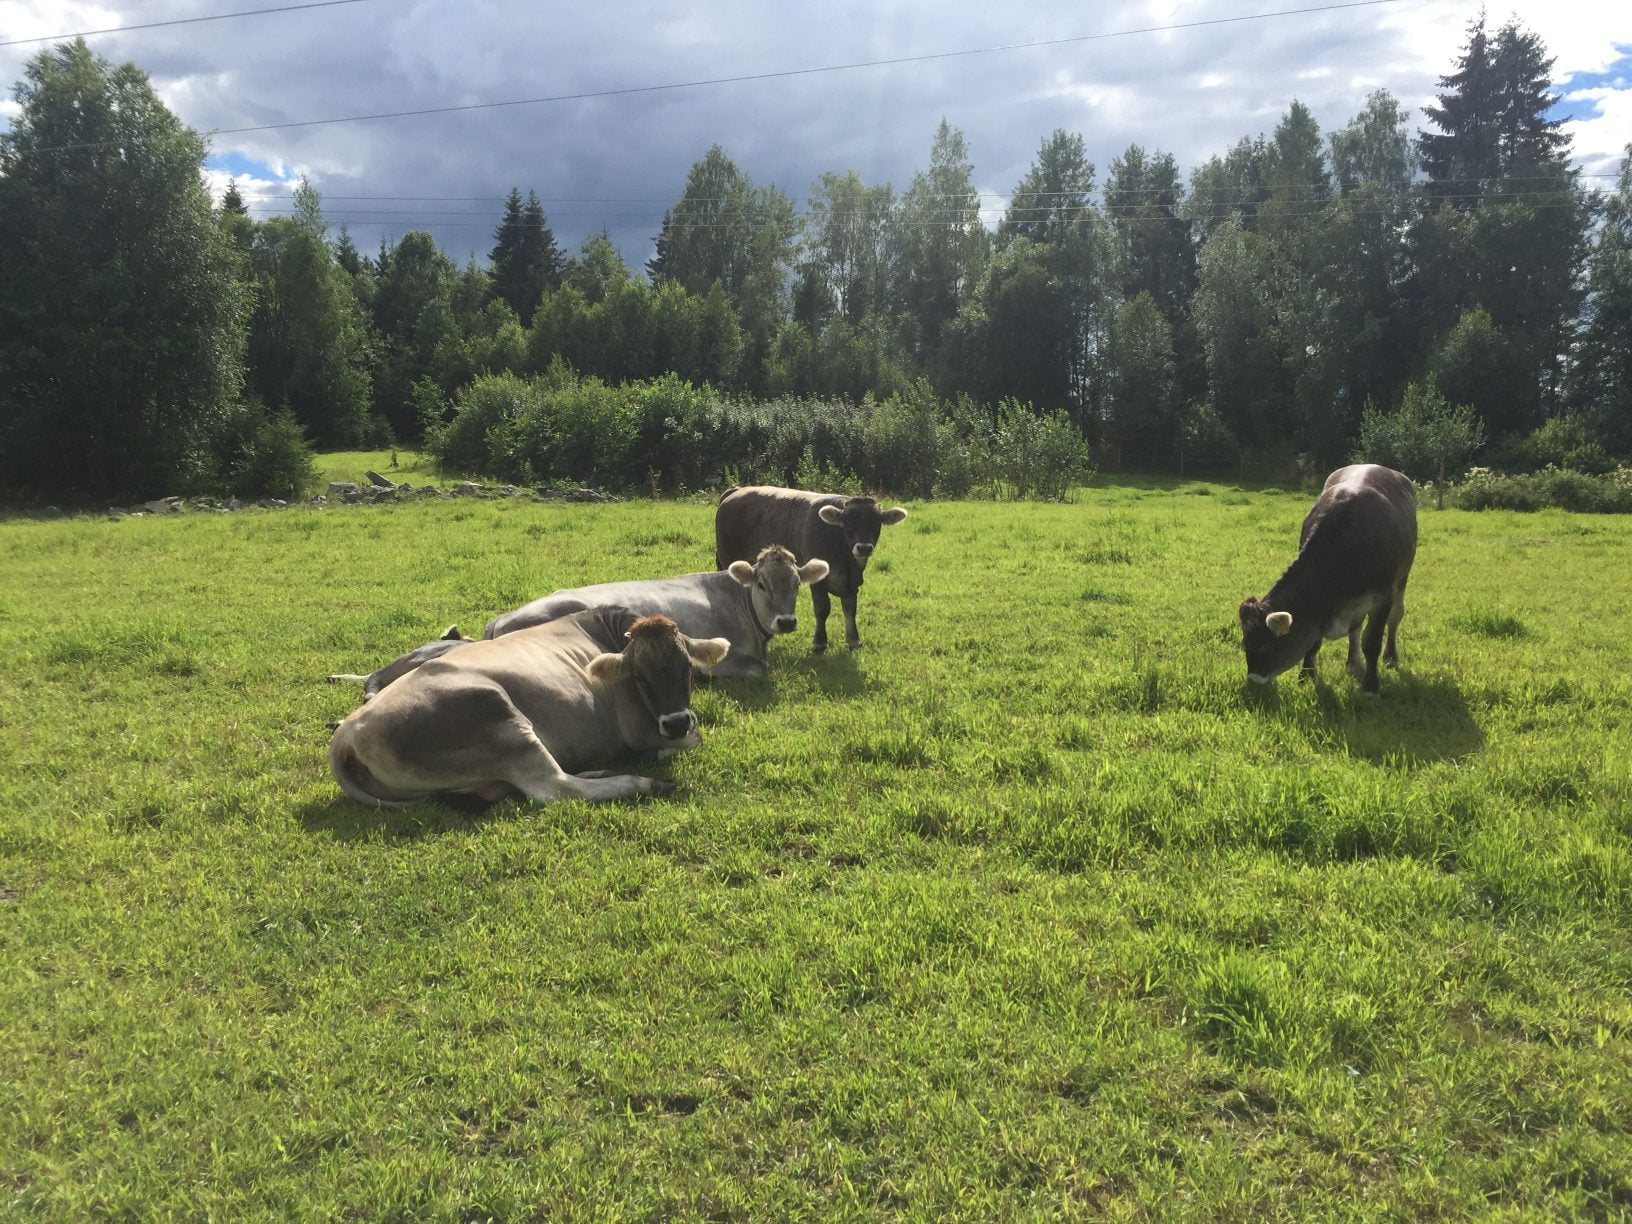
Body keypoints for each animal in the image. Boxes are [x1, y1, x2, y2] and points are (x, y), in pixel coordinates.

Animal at [715, 485, 907, 653]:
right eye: (848, 522)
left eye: (877, 523)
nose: (864, 548)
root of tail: (737, 490)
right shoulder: (819, 582)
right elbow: (822, 610)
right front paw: (819, 643)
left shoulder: (852, 583)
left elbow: (850, 609)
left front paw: (853, 640)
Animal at [1238, 463, 1417, 694]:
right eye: (1245, 643)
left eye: (1264, 645)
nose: (1253, 680)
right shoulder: (1320, 611)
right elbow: (1314, 642)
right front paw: (1306, 677)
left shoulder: (1382, 598)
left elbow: (1372, 641)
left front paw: (1371, 686)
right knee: (1355, 629)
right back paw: (1352, 663)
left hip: (1402, 577)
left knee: (1395, 617)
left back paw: (1391, 657)